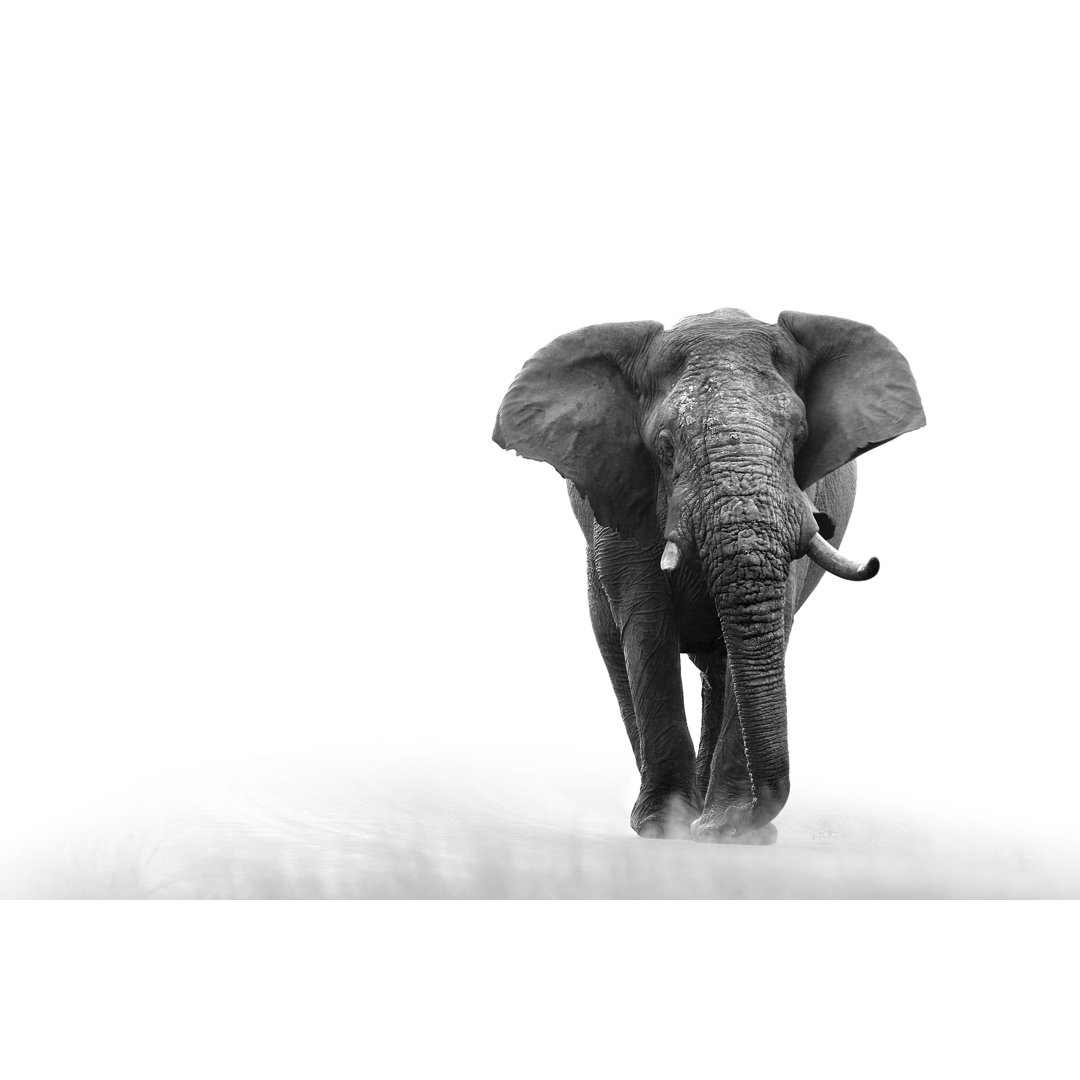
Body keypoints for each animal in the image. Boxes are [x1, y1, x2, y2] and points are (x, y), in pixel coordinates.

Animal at [492, 307, 925, 844]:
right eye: (665, 447)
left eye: (799, 437)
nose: (757, 816)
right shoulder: (625, 492)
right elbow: (646, 622)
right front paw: (666, 827)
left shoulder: (801, 497)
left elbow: (771, 619)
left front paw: (729, 831)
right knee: (619, 650)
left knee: (719, 668)